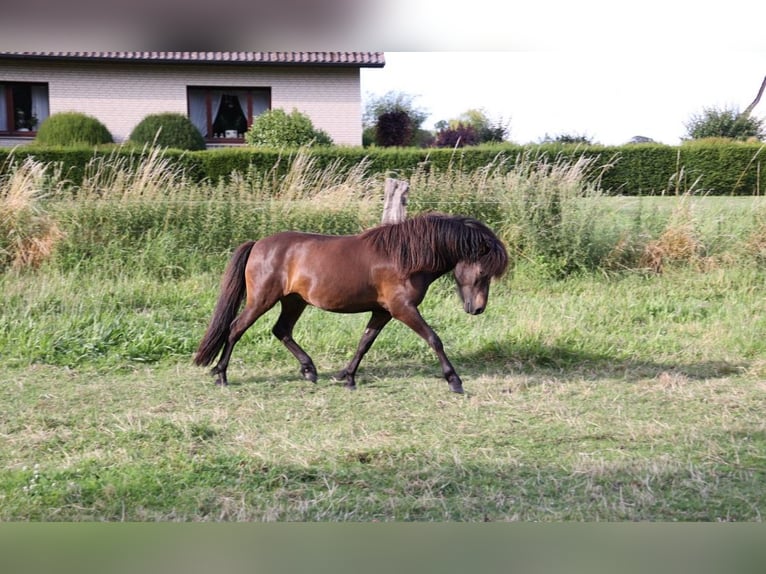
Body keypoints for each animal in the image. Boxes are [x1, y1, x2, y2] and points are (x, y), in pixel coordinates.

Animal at [195, 214, 510, 394]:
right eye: (482, 273)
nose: (477, 309)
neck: (405, 257)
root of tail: (258, 244)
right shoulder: (402, 309)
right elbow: (434, 339)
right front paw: (454, 381)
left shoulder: (383, 311)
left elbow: (364, 342)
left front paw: (347, 377)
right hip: (262, 299)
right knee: (235, 329)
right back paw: (221, 374)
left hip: (294, 301)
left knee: (281, 330)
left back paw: (309, 370)